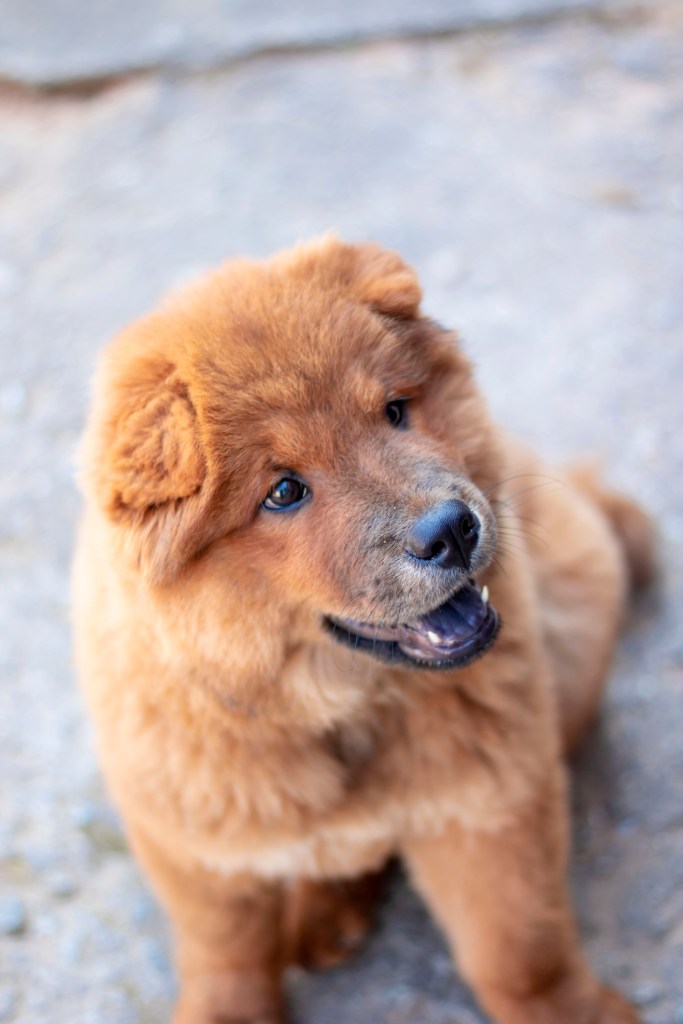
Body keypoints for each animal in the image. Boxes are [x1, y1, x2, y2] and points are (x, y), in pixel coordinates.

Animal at [73, 237, 651, 1024]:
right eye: (284, 492)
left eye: (395, 412)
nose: (452, 529)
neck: (334, 707)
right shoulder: (192, 842)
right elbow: (225, 954)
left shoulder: (490, 801)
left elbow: (516, 946)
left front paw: (570, 1010)